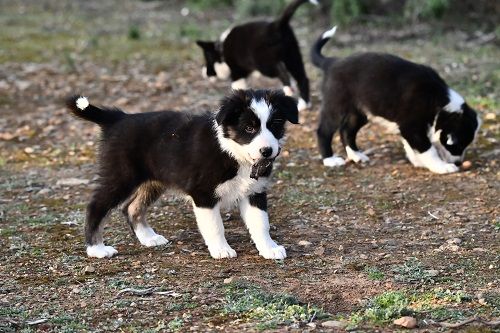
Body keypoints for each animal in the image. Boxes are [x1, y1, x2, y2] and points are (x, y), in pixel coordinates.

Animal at [68, 89, 298, 260]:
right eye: (249, 128)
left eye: (274, 125)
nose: (267, 151)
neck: (233, 152)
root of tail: (118, 118)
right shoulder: (203, 194)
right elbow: (215, 226)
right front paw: (221, 250)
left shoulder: (254, 192)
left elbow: (261, 224)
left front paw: (269, 248)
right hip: (121, 175)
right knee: (96, 206)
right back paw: (96, 249)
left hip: (153, 181)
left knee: (131, 207)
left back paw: (148, 238)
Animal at [312, 26, 480, 174]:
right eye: (457, 145)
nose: (458, 162)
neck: (439, 103)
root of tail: (332, 62)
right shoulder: (411, 126)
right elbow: (427, 149)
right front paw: (441, 167)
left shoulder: (409, 128)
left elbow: (413, 146)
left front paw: (418, 162)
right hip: (336, 106)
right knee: (323, 131)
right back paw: (330, 160)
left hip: (359, 112)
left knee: (346, 130)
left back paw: (356, 155)